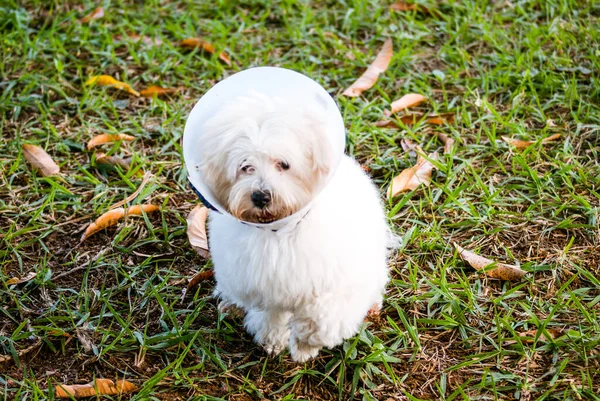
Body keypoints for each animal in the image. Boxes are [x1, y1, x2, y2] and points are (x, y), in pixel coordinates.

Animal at [199, 94, 392, 362]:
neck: (281, 231)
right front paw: (272, 339)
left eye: (284, 164)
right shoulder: (264, 283)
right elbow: (272, 314)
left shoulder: (336, 285)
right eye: (245, 166)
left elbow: (321, 319)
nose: (260, 196)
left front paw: (304, 345)